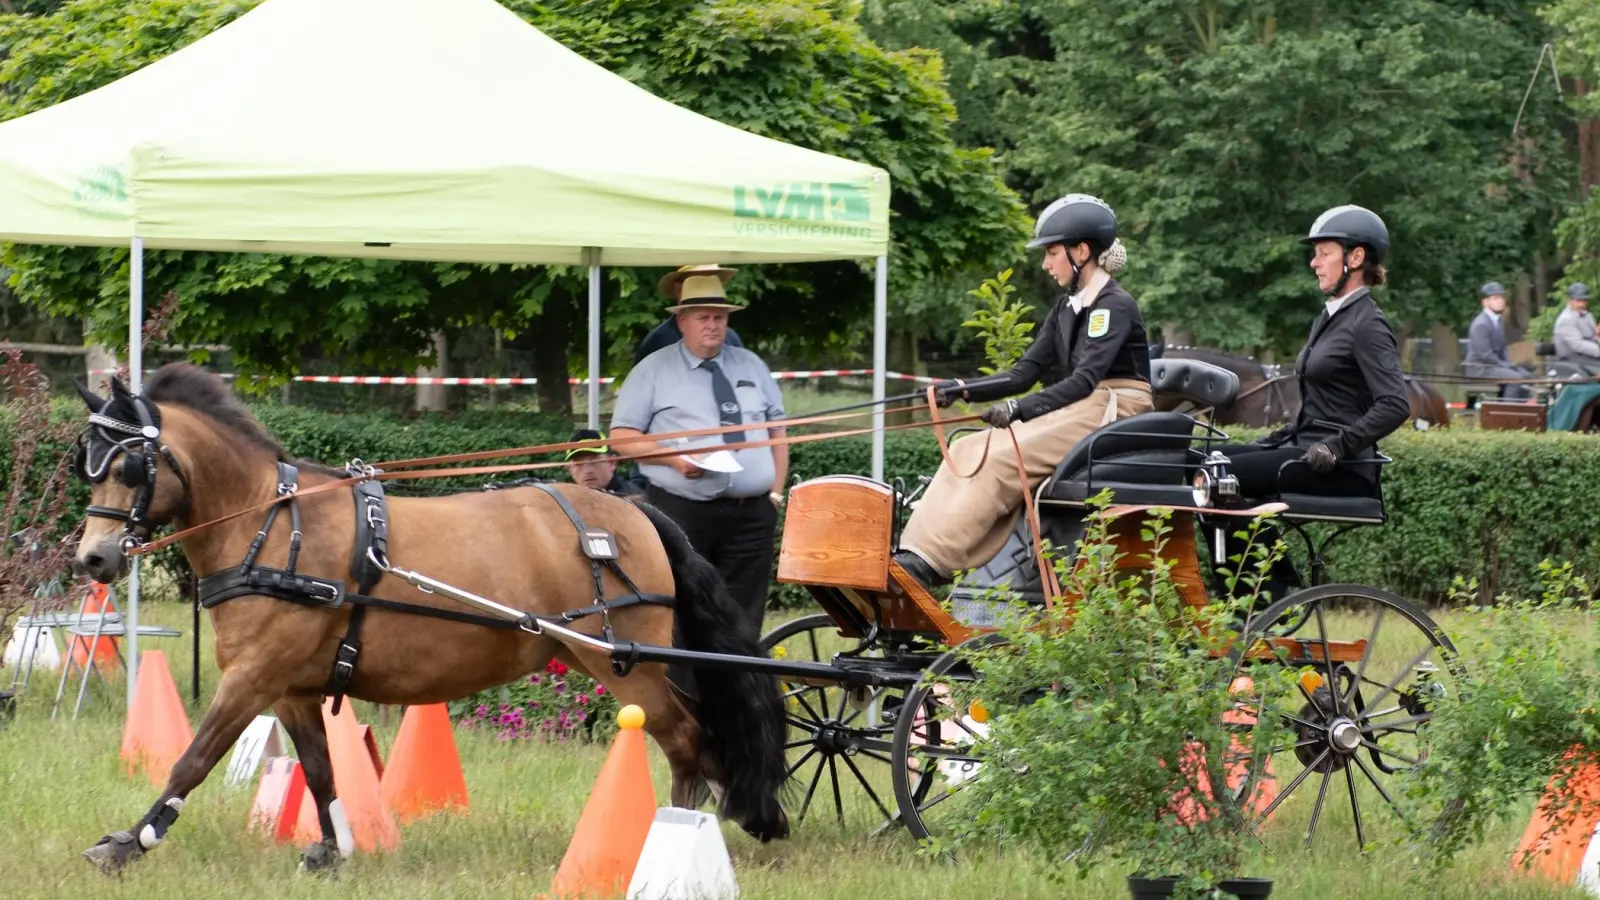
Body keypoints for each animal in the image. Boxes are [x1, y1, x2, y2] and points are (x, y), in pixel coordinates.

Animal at [68, 361, 793, 871]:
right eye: (87, 466)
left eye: (130, 466)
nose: (93, 558)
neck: (269, 527)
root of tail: (635, 511)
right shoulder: (291, 686)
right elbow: (320, 770)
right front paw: (332, 849)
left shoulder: (252, 677)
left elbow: (193, 758)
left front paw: (131, 841)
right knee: (698, 738)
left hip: (626, 663)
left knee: (688, 739)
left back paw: (674, 837)